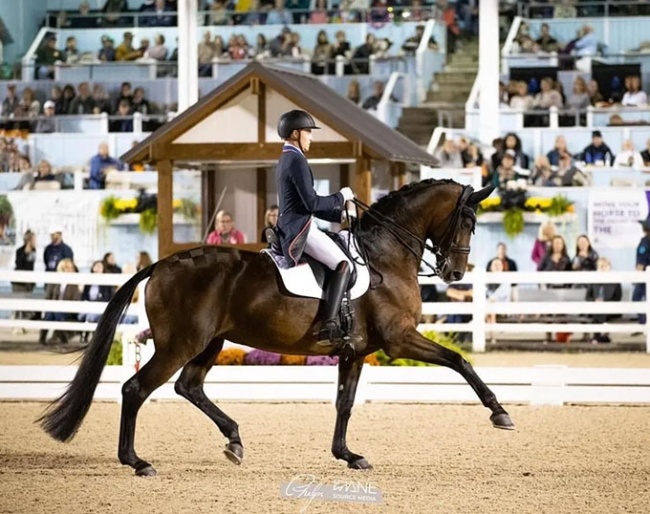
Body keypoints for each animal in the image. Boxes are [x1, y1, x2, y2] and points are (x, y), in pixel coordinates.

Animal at [38, 178, 512, 474]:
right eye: (468, 221)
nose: (454, 273)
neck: (385, 257)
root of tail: (161, 263)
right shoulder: (399, 341)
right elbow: (460, 360)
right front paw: (499, 412)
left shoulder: (356, 351)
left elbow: (344, 404)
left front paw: (347, 455)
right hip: (180, 344)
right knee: (136, 388)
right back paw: (137, 462)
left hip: (209, 343)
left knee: (188, 386)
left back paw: (233, 440)